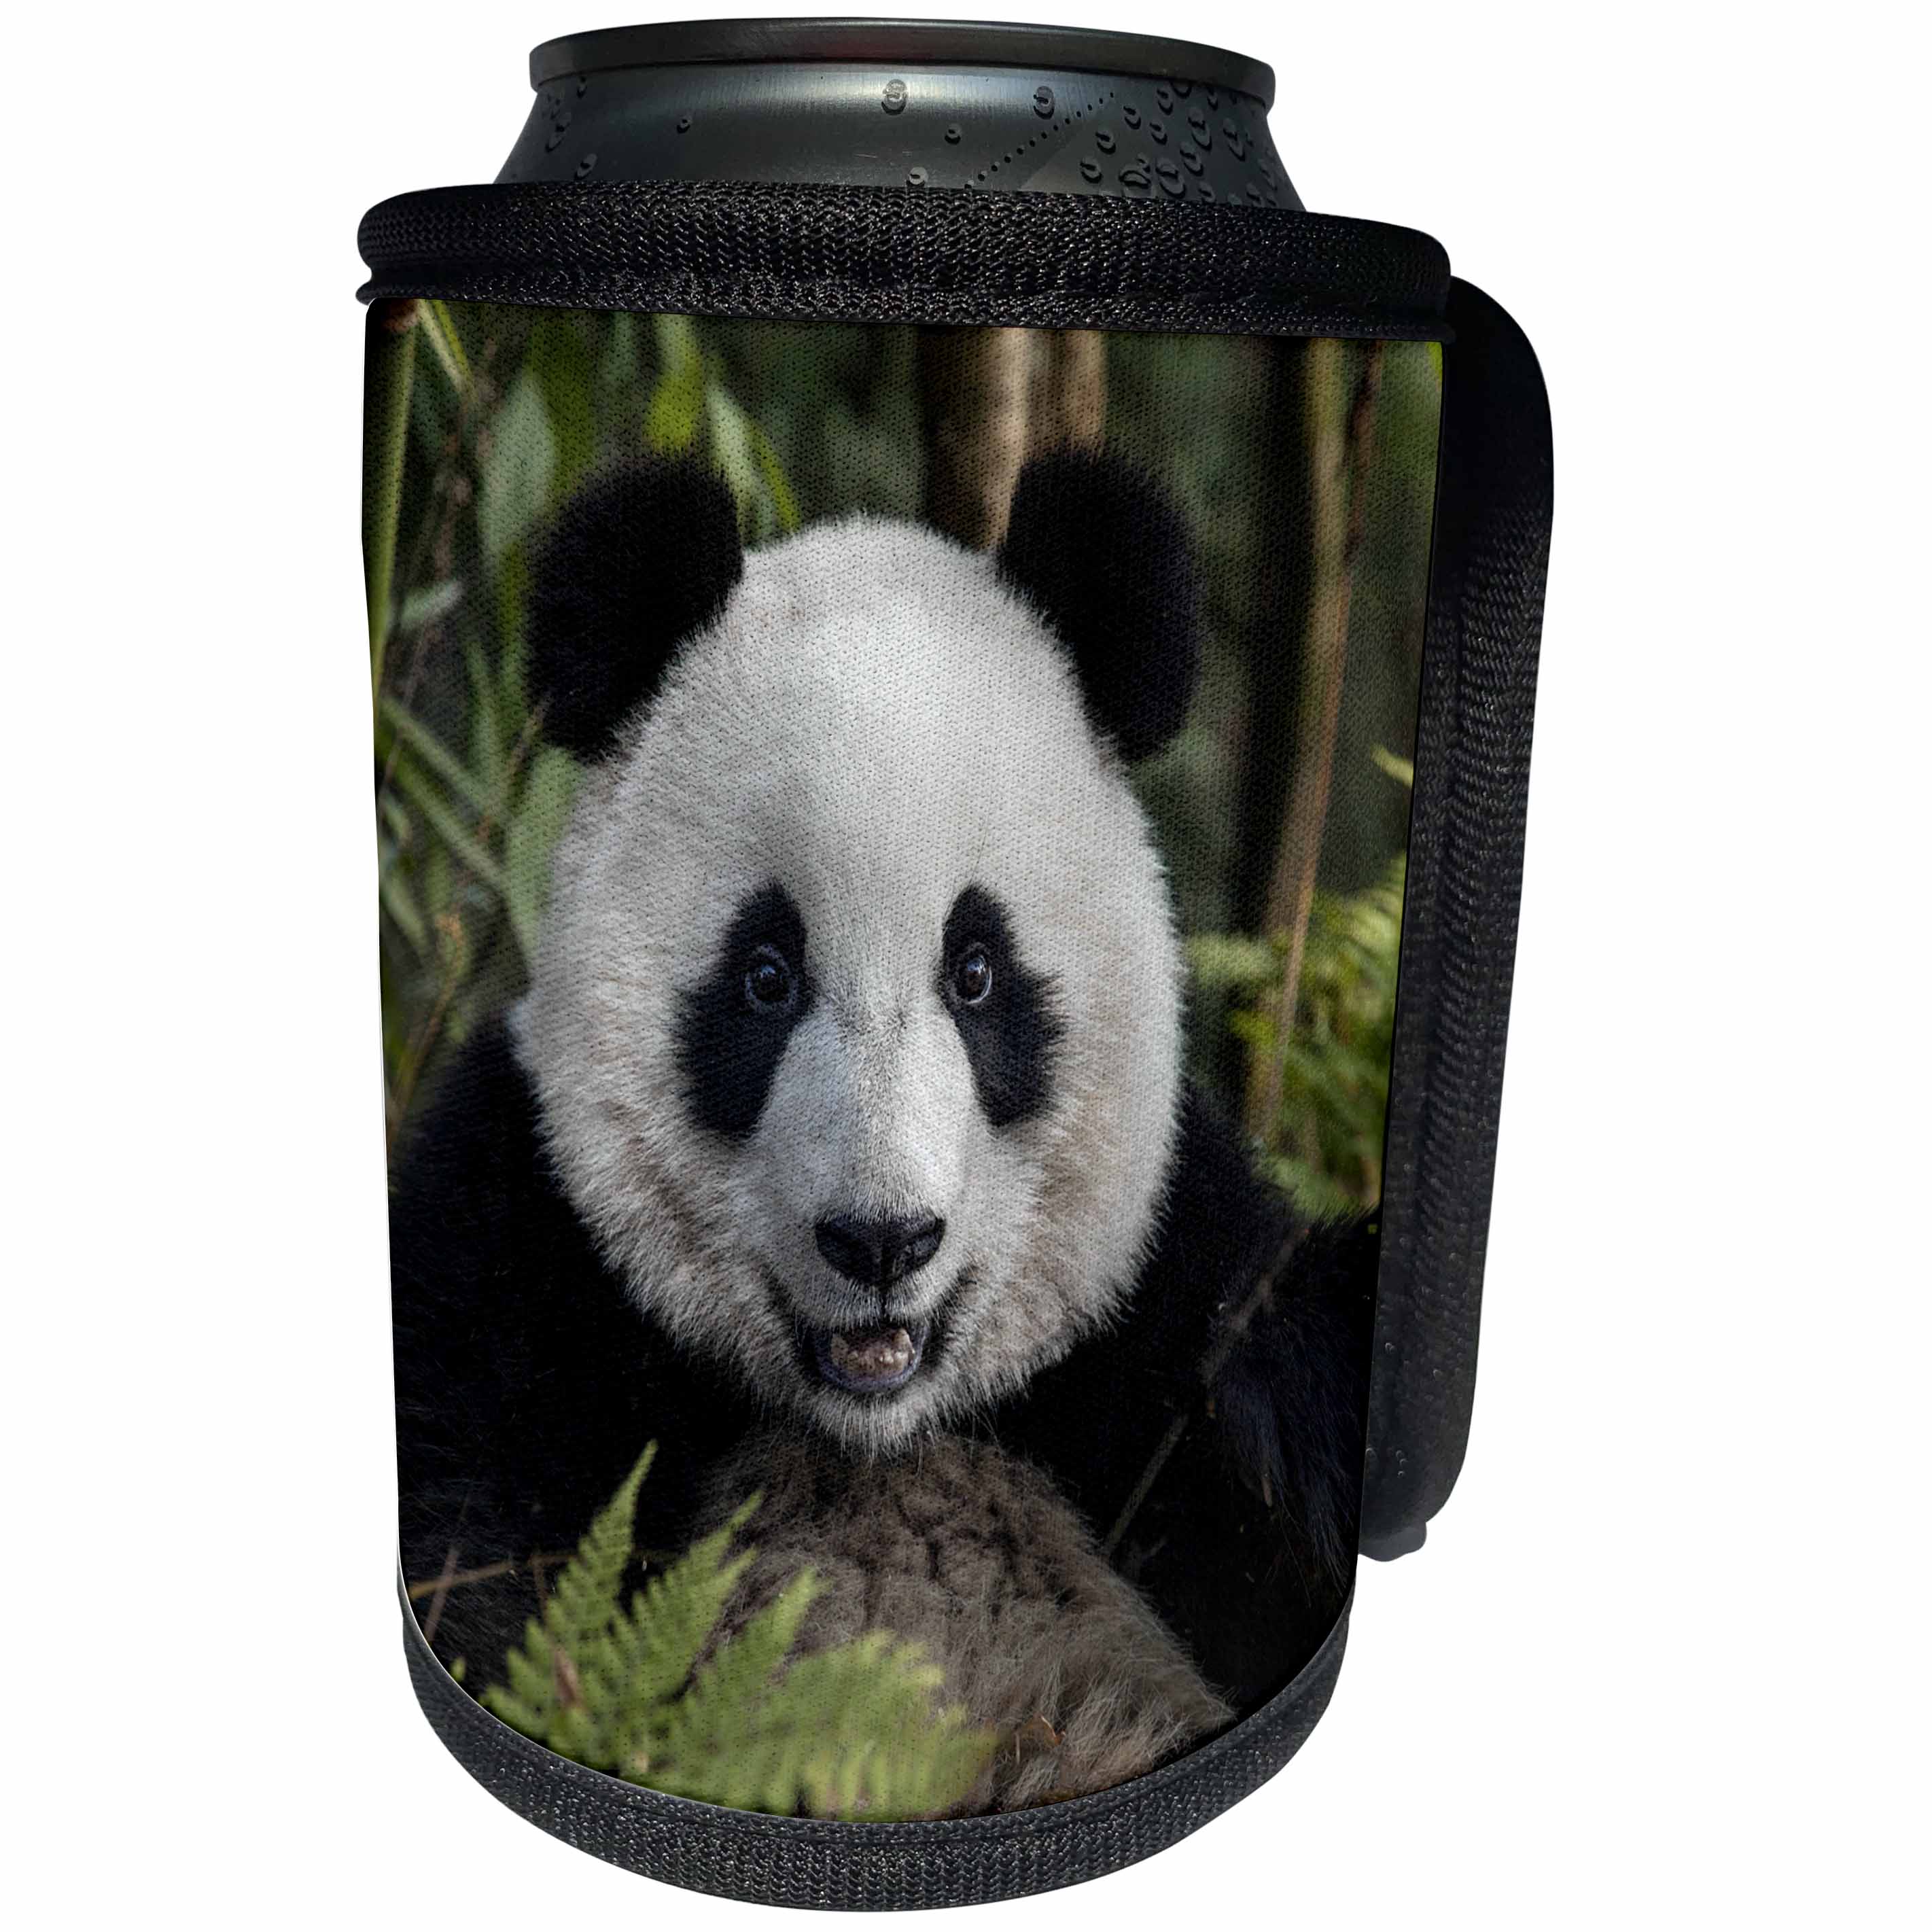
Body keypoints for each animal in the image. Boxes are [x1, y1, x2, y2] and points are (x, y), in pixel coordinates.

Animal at [391, 447, 1377, 1811]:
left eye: (975, 971)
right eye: (765, 975)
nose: (879, 1242)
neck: (873, 1431)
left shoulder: (1155, 1295)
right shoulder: (518, 1249)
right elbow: (475, 1569)